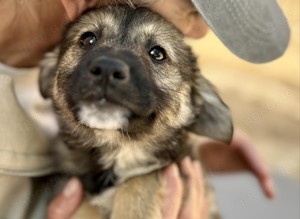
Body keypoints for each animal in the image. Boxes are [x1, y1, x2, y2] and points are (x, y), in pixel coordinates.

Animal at [39, 5, 232, 219]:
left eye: (157, 53)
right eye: (88, 39)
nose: (107, 68)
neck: (118, 150)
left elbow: (140, 179)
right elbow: (86, 207)